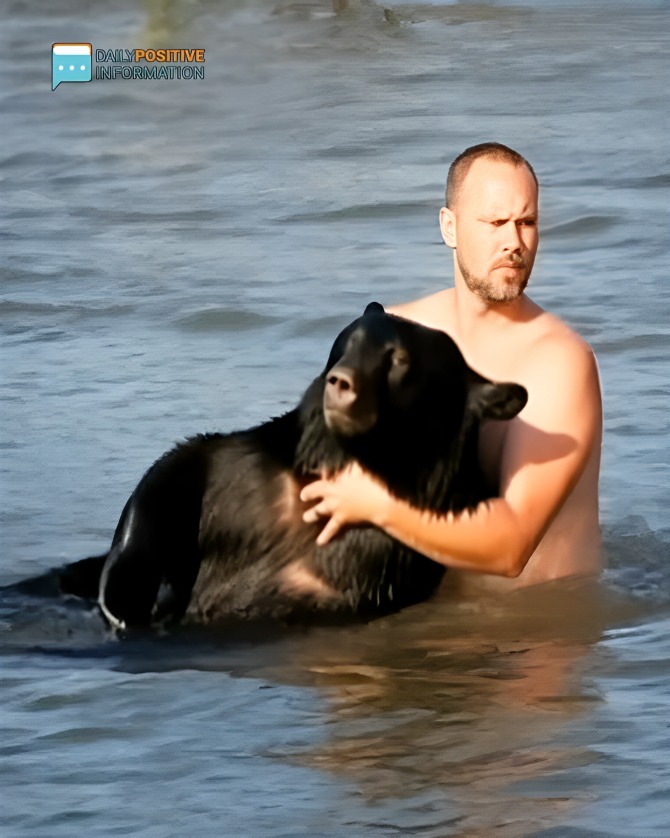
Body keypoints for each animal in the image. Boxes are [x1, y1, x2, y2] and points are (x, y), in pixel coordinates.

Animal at [19, 303, 527, 630]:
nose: (341, 383)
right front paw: (128, 603)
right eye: (345, 343)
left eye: (399, 359)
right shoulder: (223, 471)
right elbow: (160, 494)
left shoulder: (384, 556)